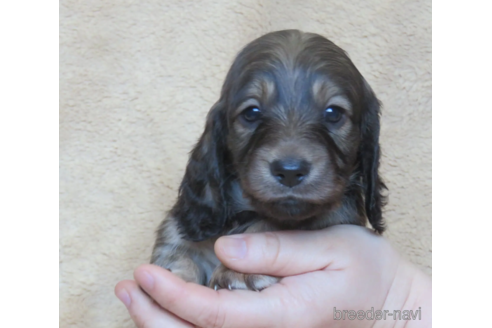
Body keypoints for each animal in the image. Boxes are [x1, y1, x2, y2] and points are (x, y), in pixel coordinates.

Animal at [152, 29, 386, 290]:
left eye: (334, 113)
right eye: (251, 113)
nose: (290, 171)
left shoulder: (337, 215)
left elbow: (271, 223)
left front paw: (237, 271)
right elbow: (179, 247)